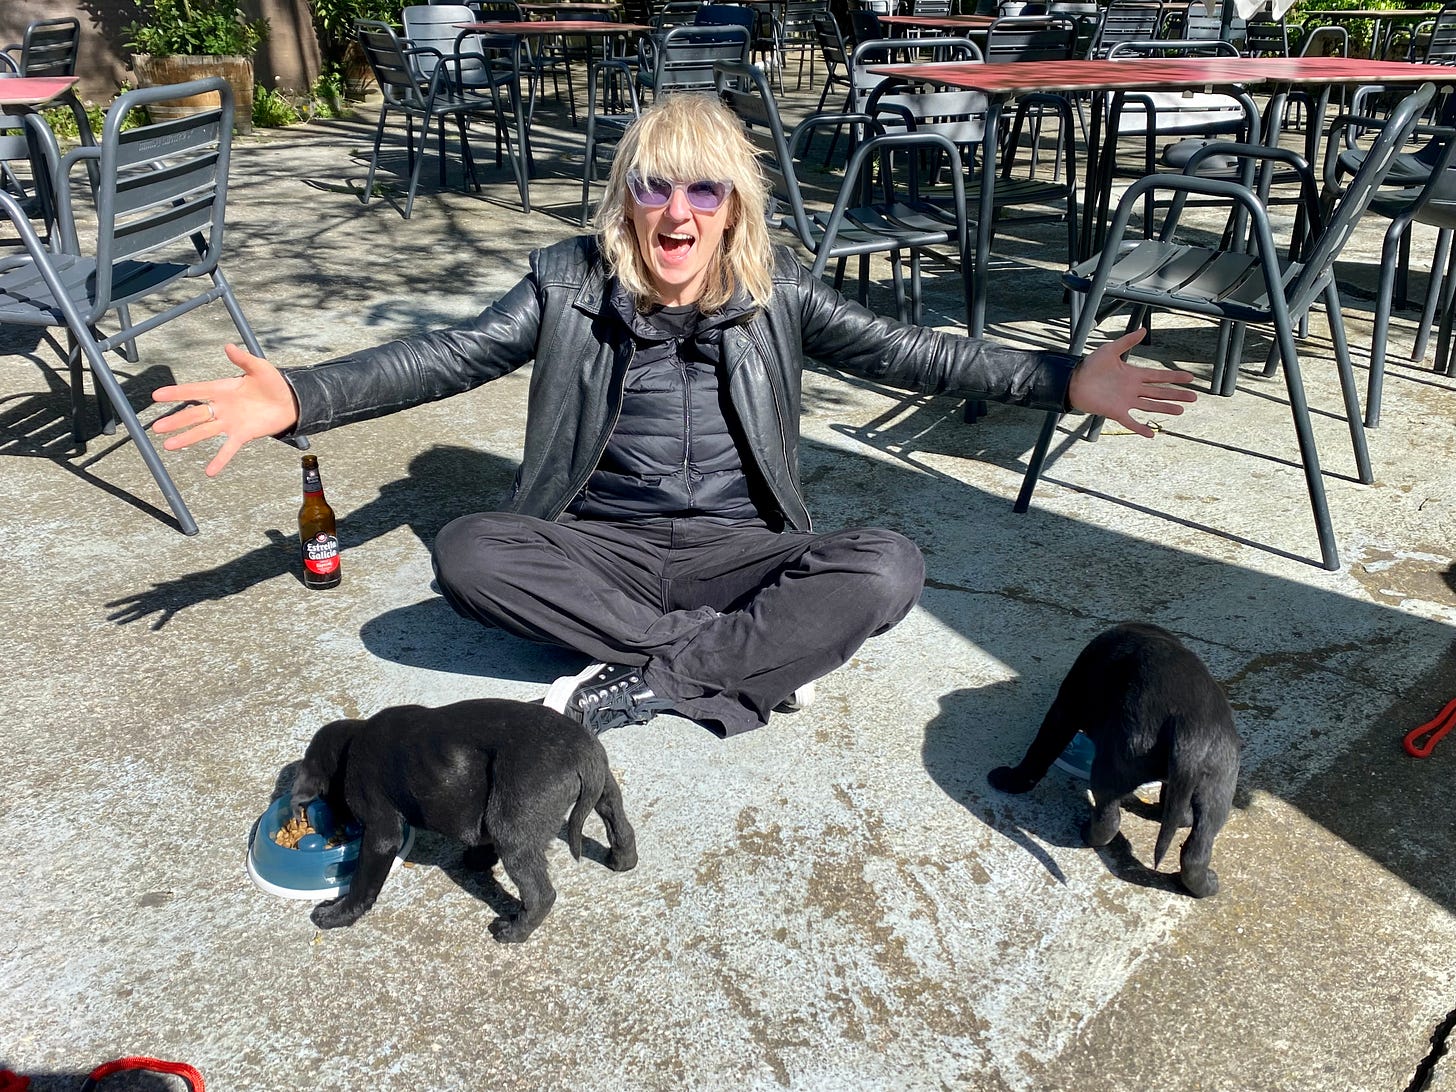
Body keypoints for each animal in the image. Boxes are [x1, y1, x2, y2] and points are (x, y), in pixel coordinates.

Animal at [289, 701, 637, 943]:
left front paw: (338, 914)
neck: (351, 745)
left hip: (511, 826)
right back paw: (622, 860)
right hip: (604, 791)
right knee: (620, 823)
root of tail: (584, 752)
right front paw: (478, 859)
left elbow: (362, 883)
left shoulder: (380, 833)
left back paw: (512, 932)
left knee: (541, 894)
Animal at [990, 623, 1240, 896]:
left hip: (1112, 765)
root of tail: (1186, 725)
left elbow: (1040, 749)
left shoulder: (1065, 708)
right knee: (1197, 847)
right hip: (1219, 786)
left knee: (1109, 820)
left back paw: (1087, 834)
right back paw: (1205, 883)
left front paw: (1011, 779)